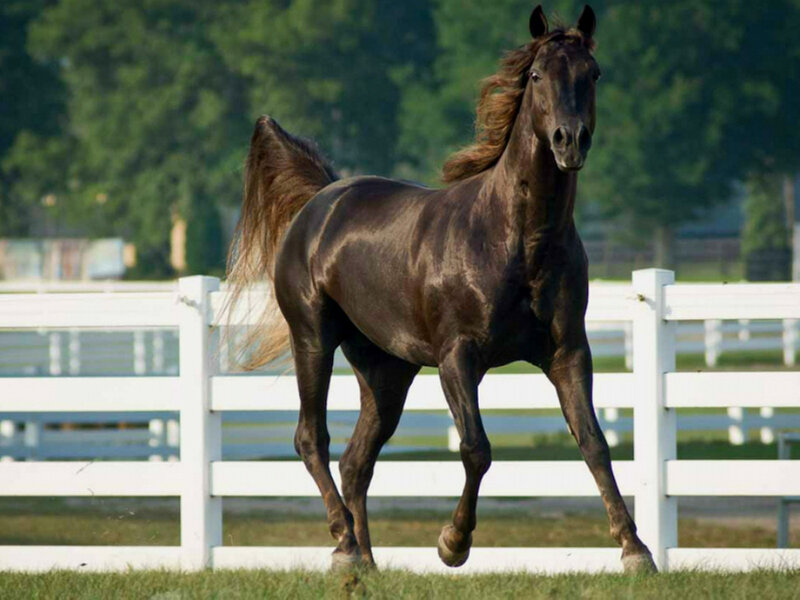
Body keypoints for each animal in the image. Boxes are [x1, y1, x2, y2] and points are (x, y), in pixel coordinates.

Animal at [227, 4, 656, 573]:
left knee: (356, 460)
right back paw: (343, 543)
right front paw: (453, 543)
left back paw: (364, 561)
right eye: (537, 76)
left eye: (594, 73)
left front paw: (636, 550)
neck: (516, 238)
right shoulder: (458, 357)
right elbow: (476, 448)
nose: (570, 140)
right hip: (313, 338)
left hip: (386, 370)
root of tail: (320, 201)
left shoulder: (567, 353)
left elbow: (594, 442)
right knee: (311, 439)